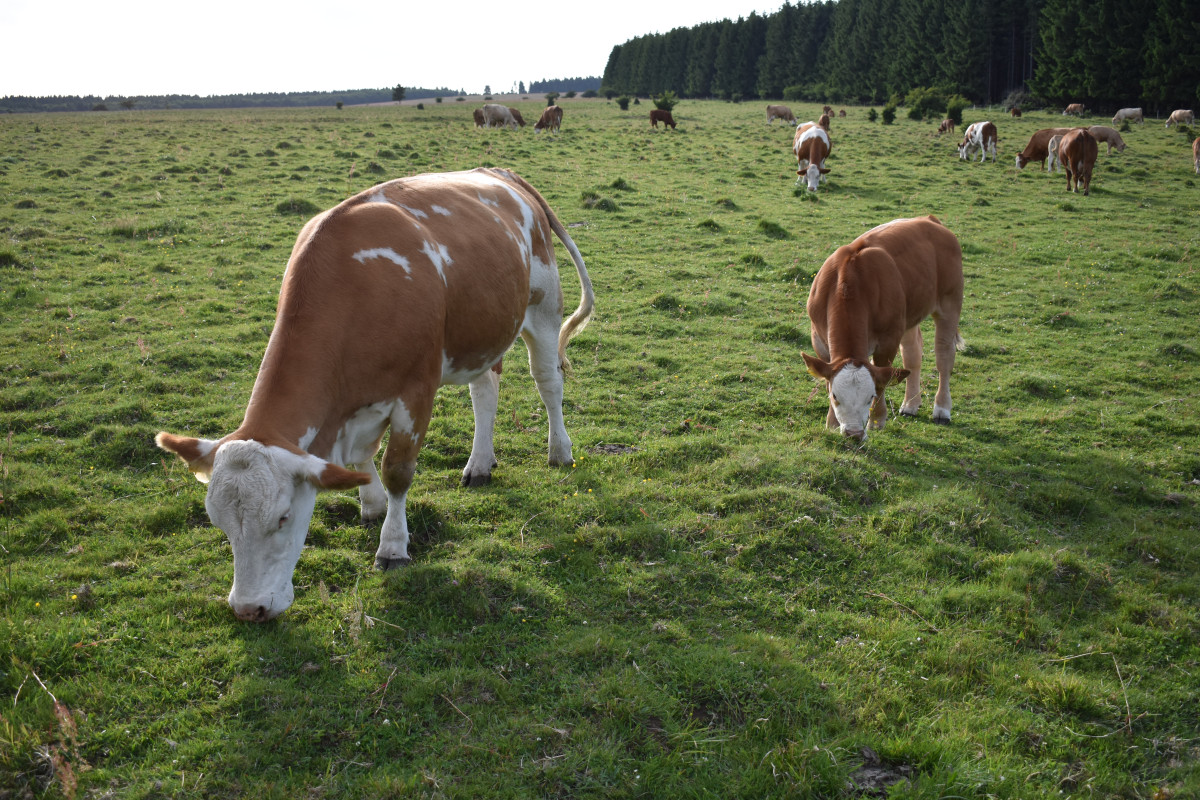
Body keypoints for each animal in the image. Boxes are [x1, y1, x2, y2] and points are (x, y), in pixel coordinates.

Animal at [154, 167, 595, 618]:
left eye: (282, 517)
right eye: (218, 523)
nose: (248, 609)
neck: (354, 291)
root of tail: (495, 171)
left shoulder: (416, 391)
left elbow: (397, 470)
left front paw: (393, 546)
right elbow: (359, 459)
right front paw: (371, 504)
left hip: (544, 306)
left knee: (548, 383)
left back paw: (560, 451)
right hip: (483, 331)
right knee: (485, 392)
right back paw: (479, 464)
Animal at [806, 215, 964, 441]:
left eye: (869, 396)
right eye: (835, 396)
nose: (854, 433)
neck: (849, 284)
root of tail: (929, 219)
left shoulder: (888, 339)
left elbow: (883, 378)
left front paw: (876, 421)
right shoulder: (819, 340)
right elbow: (828, 378)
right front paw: (832, 423)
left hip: (950, 303)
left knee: (944, 356)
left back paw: (942, 409)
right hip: (908, 315)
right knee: (912, 355)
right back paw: (910, 405)